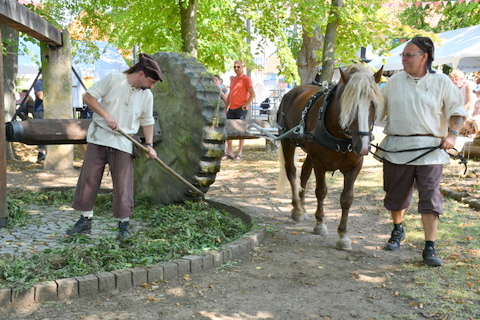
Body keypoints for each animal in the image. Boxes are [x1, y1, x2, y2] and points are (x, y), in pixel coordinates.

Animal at [278, 63, 382, 251]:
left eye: (373, 104)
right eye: (349, 104)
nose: (363, 147)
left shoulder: (355, 167)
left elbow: (347, 198)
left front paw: (343, 235)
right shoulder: (320, 163)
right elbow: (321, 191)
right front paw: (320, 224)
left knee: (304, 172)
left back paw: (303, 207)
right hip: (287, 142)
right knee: (292, 172)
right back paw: (297, 208)